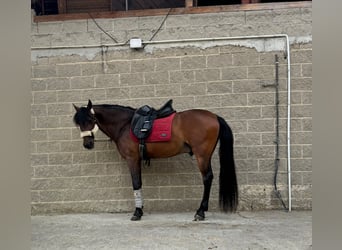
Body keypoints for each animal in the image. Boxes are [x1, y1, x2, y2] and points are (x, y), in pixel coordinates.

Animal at [73, 99, 238, 221]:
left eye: (91, 119)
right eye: (78, 123)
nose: (87, 144)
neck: (125, 125)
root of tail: (214, 117)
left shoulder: (132, 159)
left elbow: (136, 183)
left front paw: (137, 212)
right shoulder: (137, 160)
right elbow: (139, 182)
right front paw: (140, 209)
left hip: (202, 156)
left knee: (207, 178)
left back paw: (200, 212)